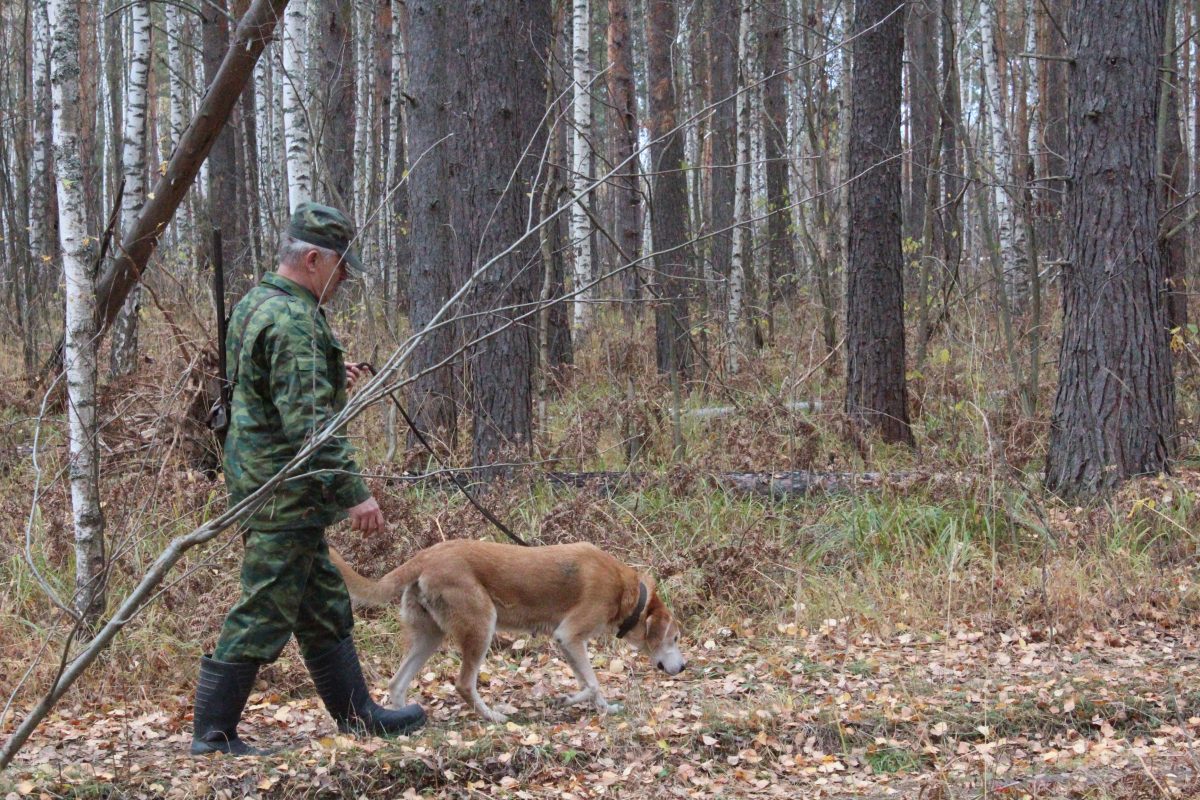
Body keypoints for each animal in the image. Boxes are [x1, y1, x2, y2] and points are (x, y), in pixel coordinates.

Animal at [328, 542, 686, 724]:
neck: (627, 593)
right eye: (675, 638)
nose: (683, 667)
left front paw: (604, 709)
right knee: (463, 684)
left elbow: (590, 683)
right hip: (481, 626)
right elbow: (594, 682)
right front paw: (569, 699)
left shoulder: (570, 644)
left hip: (429, 637)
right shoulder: (569, 636)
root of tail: (423, 556)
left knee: (396, 683)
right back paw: (494, 717)